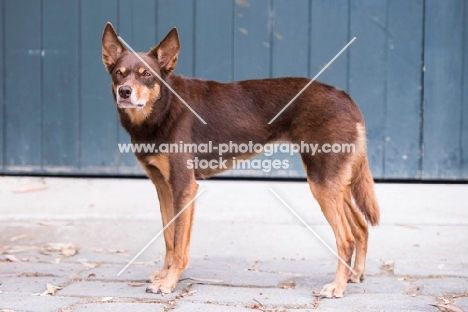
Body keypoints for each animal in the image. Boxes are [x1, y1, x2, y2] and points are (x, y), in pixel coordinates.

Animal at [102, 22, 380, 298]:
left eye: (146, 74)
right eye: (118, 73)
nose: (124, 92)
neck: (163, 108)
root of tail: (346, 98)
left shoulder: (184, 186)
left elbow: (179, 242)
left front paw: (170, 282)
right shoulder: (163, 187)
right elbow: (169, 237)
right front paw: (164, 274)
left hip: (322, 181)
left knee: (346, 239)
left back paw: (337, 286)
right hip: (335, 182)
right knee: (361, 228)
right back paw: (355, 275)